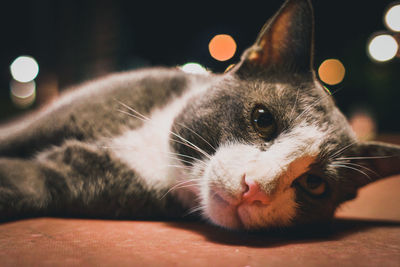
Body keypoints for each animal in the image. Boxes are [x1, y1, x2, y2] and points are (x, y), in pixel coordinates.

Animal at [0, 0, 400, 231]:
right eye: (263, 118)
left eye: (315, 185)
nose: (255, 188)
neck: (157, 152)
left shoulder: (68, 181)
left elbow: (25, 183)